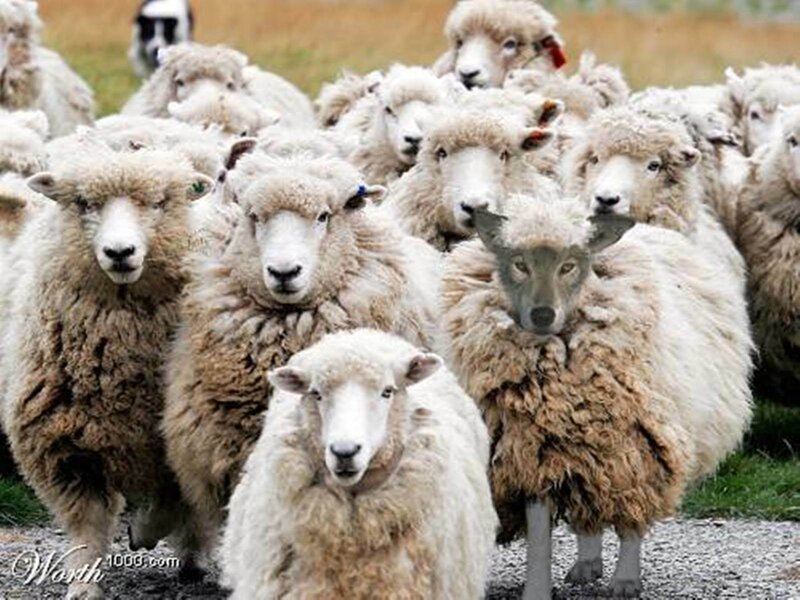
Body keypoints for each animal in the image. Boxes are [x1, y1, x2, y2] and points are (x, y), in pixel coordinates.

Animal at [0, 149, 215, 599]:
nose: (120, 252)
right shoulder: (67, 450)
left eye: (159, 203)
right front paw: (83, 584)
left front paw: (146, 531)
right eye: (84, 203)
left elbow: (170, 501)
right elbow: (87, 524)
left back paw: (192, 558)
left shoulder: (175, 441)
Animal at [439, 195, 752, 599]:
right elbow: (539, 532)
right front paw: (537, 589)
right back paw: (587, 561)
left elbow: (632, 517)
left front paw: (626, 581)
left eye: (570, 265)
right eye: (519, 263)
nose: (543, 314)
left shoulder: (638, 445)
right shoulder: (532, 449)